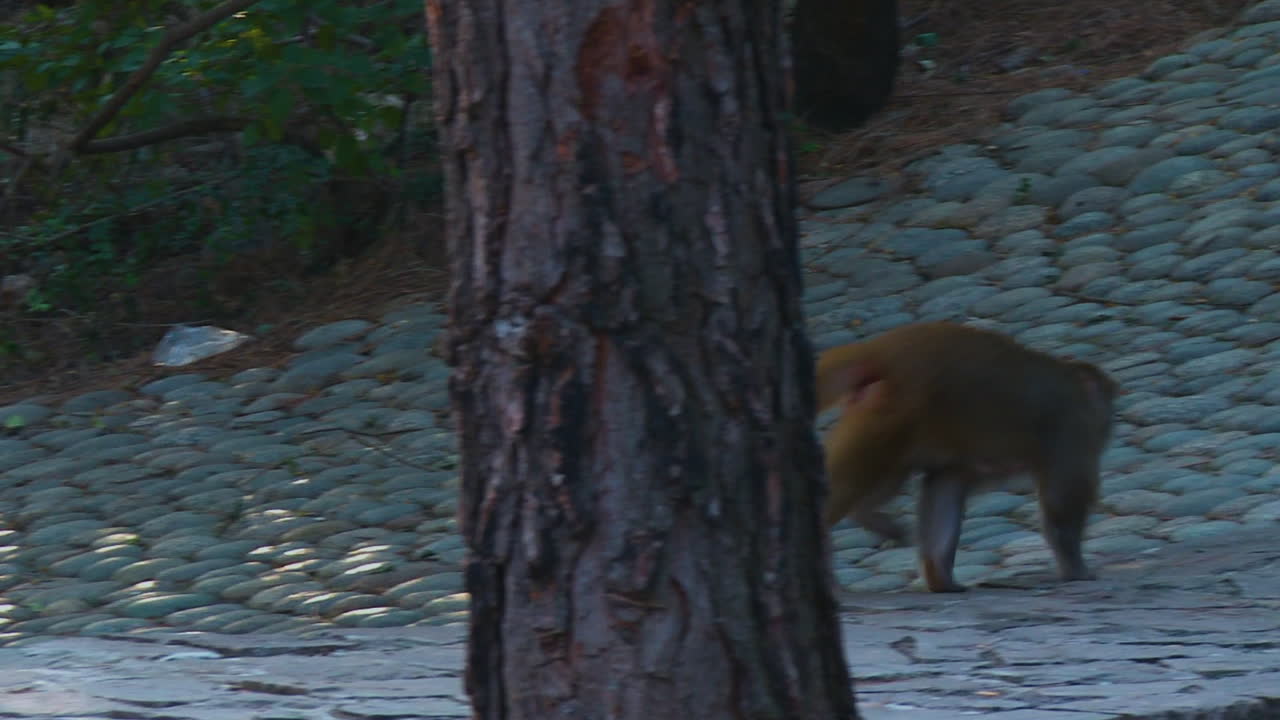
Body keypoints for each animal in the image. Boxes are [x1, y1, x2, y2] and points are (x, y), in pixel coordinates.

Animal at [816, 322, 1117, 593]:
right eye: (1107, 402)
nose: (1107, 425)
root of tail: (883, 350)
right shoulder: (1070, 431)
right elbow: (1063, 501)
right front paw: (1076, 569)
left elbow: (944, 489)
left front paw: (941, 581)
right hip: (891, 416)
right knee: (857, 479)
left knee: (888, 478)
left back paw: (869, 520)